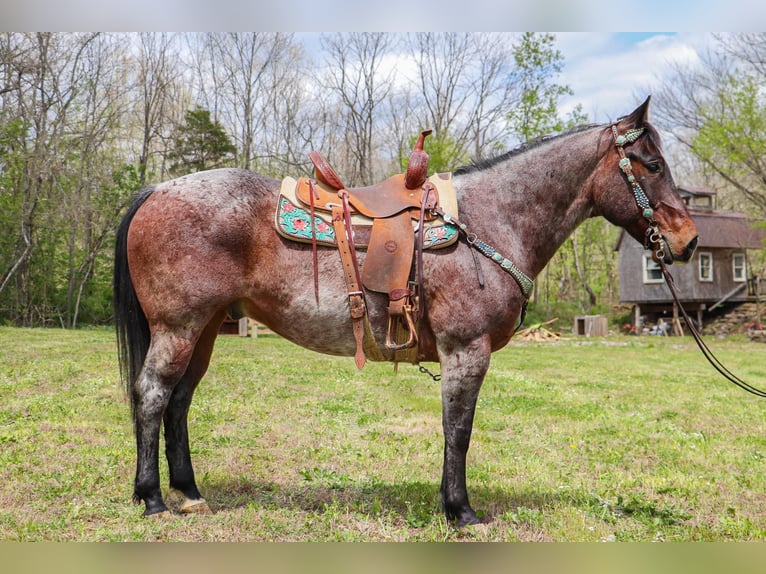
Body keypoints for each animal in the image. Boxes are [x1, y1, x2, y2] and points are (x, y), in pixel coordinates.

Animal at [112, 98, 704, 528]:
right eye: (652, 165)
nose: (689, 241)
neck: (491, 219)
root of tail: (158, 188)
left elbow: (452, 430)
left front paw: (450, 503)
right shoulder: (466, 351)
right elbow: (458, 430)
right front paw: (461, 511)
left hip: (207, 329)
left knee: (179, 401)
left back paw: (189, 493)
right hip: (179, 328)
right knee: (152, 395)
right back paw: (152, 498)